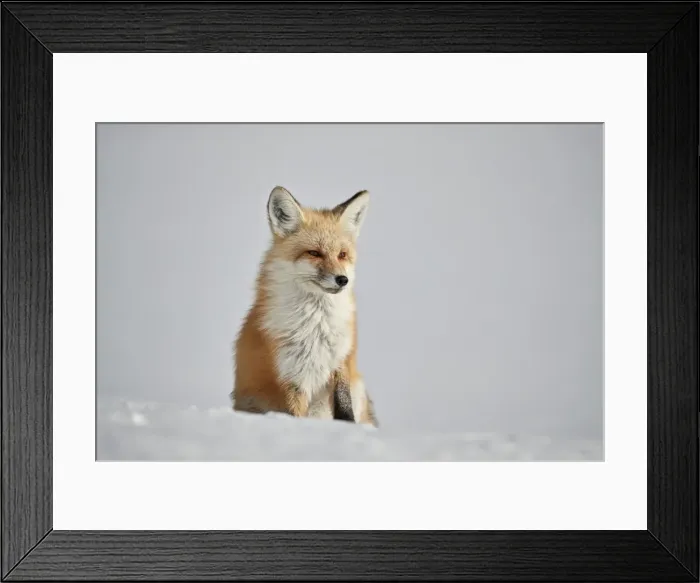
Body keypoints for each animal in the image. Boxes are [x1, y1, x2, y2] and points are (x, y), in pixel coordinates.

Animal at [231, 186, 378, 427]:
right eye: (314, 253)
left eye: (342, 255)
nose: (343, 280)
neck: (317, 326)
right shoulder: (291, 376)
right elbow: (294, 414)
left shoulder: (341, 360)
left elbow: (344, 405)